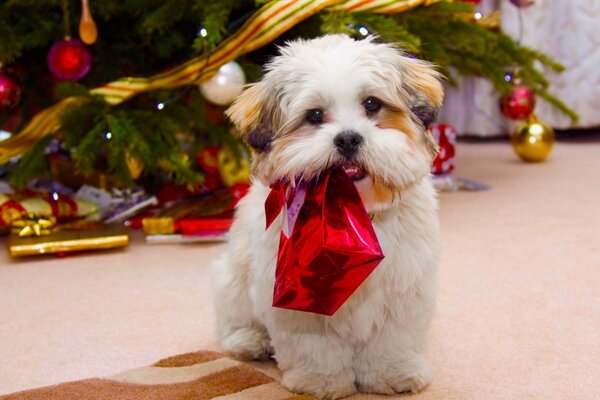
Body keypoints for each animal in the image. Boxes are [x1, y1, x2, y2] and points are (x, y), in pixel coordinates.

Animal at [213, 35, 442, 400]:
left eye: (372, 104)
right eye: (315, 115)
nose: (348, 137)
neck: (352, 214)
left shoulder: (404, 288)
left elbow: (392, 340)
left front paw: (392, 372)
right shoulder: (295, 298)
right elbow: (314, 347)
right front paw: (320, 380)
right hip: (231, 278)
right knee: (232, 319)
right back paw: (250, 340)